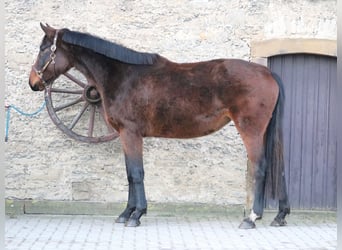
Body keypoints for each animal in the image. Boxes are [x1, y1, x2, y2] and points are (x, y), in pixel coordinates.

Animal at [28, 23, 288, 229]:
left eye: (43, 49)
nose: (33, 83)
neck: (123, 76)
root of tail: (267, 73)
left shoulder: (131, 133)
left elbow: (136, 173)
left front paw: (137, 215)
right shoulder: (125, 135)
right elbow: (129, 174)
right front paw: (126, 213)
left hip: (251, 130)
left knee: (261, 167)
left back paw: (252, 218)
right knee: (280, 168)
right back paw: (280, 216)